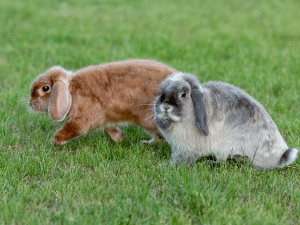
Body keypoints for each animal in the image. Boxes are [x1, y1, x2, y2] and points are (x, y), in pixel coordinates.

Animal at [28, 59, 176, 145]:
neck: (72, 92)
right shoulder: (105, 118)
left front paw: (55, 140)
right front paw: (121, 139)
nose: (30, 104)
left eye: (45, 88)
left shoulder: (84, 118)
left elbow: (72, 128)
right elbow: (109, 129)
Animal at [154, 72, 298, 169]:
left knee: (222, 161)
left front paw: (166, 165)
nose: (165, 107)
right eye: (160, 92)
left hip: (226, 147)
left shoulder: (184, 150)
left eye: (183, 94)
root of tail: (279, 157)